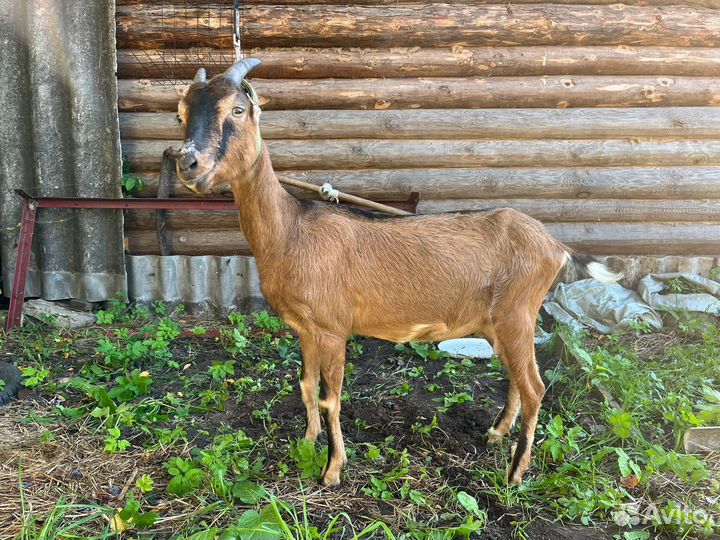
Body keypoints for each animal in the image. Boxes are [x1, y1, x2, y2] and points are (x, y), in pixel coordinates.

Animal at [175, 59, 622, 487]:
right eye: (180, 113)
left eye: (237, 110)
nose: (187, 163)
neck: (292, 231)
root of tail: (554, 245)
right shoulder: (305, 328)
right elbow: (305, 386)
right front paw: (306, 442)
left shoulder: (333, 328)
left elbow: (330, 398)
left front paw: (332, 470)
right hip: (505, 322)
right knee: (517, 378)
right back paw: (496, 434)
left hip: (518, 313)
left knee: (535, 387)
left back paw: (514, 475)